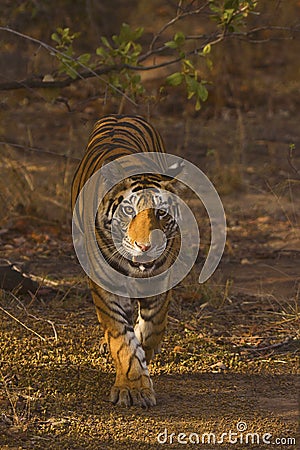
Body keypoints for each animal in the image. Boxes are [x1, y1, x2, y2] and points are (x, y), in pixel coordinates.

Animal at [71, 115, 182, 408]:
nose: (146, 247)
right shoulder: (105, 288)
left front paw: (145, 350)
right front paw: (133, 387)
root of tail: (122, 116)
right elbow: (121, 340)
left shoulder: (162, 278)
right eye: (129, 210)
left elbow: (153, 325)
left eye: (161, 212)